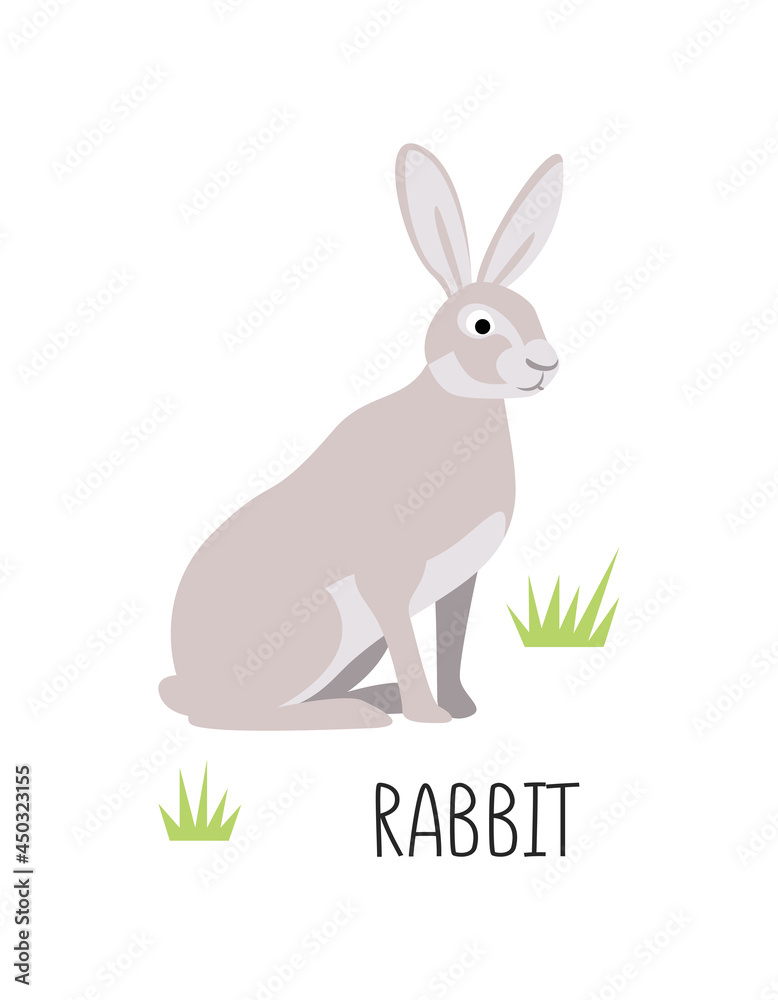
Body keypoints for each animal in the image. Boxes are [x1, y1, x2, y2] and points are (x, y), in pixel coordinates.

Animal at [160, 144, 564, 730]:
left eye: (532, 312)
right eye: (481, 325)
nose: (545, 364)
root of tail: (188, 682)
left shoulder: (458, 582)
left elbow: (451, 642)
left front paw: (461, 707)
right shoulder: (388, 579)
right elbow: (410, 643)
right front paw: (430, 717)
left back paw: (376, 697)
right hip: (321, 624)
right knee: (233, 715)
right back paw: (357, 714)